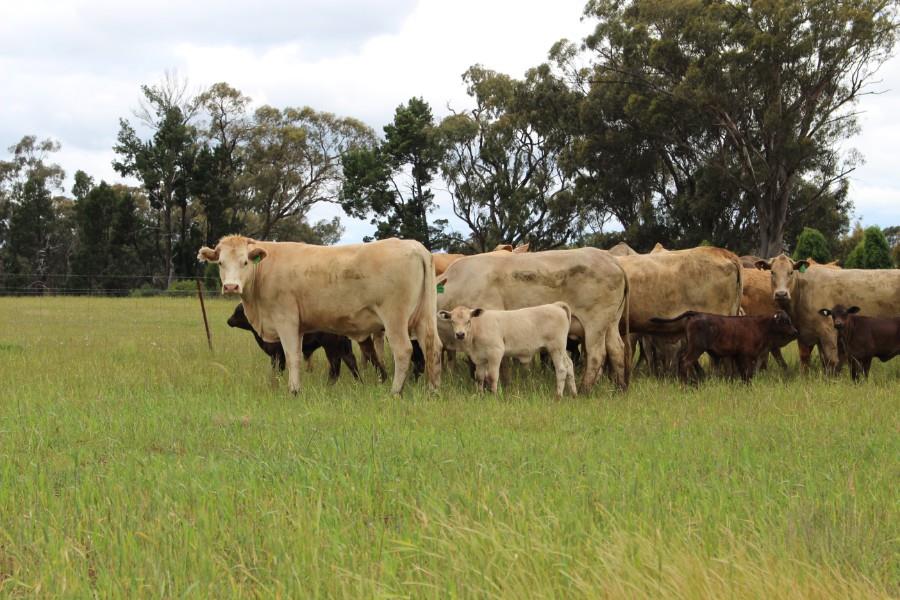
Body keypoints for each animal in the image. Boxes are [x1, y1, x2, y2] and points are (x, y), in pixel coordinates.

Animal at [227, 303, 362, 382]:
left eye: (238, 311)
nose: (229, 321)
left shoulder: (278, 353)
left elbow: (279, 369)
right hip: (344, 347)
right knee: (350, 361)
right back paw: (358, 381)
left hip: (331, 347)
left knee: (335, 365)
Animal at [438, 303, 577, 397]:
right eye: (452, 321)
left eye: (468, 321)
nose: (460, 334)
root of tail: (555, 305)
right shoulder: (480, 358)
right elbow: (479, 377)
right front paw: (479, 395)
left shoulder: (496, 352)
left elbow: (492, 376)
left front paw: (493, 396)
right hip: (561, 350)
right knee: (569, 365)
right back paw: (574, 394)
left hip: (556, 348)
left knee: (561, 369)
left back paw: (558, 396)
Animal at [650, 311, 798, 383]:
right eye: (786, 321)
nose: (795, 331)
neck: (759, 326)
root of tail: (696, 314)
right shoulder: (746, 355)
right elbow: (748, 373)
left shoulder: (738, 356)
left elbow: (743, 374)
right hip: (696, 348)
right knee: (685, 362)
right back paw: (686, 384)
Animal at [755, 254, 900, 373]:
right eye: (772, 272)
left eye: (790, 272)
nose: (781, 294)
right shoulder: (805, 335)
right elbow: (806, 360)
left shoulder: (828, 330)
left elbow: (831, 360)